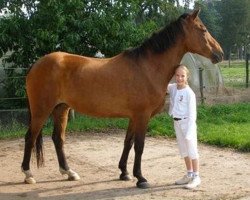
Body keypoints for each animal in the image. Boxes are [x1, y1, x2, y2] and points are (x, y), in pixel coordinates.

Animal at [21, 8, 223, 188]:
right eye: (203, 29)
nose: (219, 53)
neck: (147, 67)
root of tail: (36, 64)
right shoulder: (142, 116)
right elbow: (139, 145)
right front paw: (140, 178)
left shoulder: (134, 116)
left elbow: (128, 142)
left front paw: (124, 173)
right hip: (41, 110)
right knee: (30, 137)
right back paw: (28, 174)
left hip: (61, 108)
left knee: (58, 139)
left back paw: (69, 172)